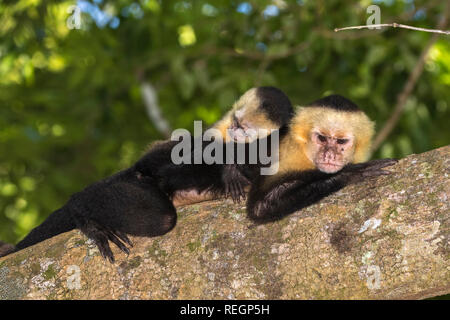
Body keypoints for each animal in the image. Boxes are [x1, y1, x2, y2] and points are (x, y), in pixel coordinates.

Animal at [4, 86, 296, 262]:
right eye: (236, 122)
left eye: (244, 128)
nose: (235, 131)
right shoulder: (222, 128)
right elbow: (195, 149)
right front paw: (229, 167)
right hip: (141, 179)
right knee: (162, 212)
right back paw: (84, 214)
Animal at [243, 94, 398, 222]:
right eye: (322, 138)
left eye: (341, 141)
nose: (329, 155)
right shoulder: (286, 153)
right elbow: (259, 207)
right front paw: (351, 173)